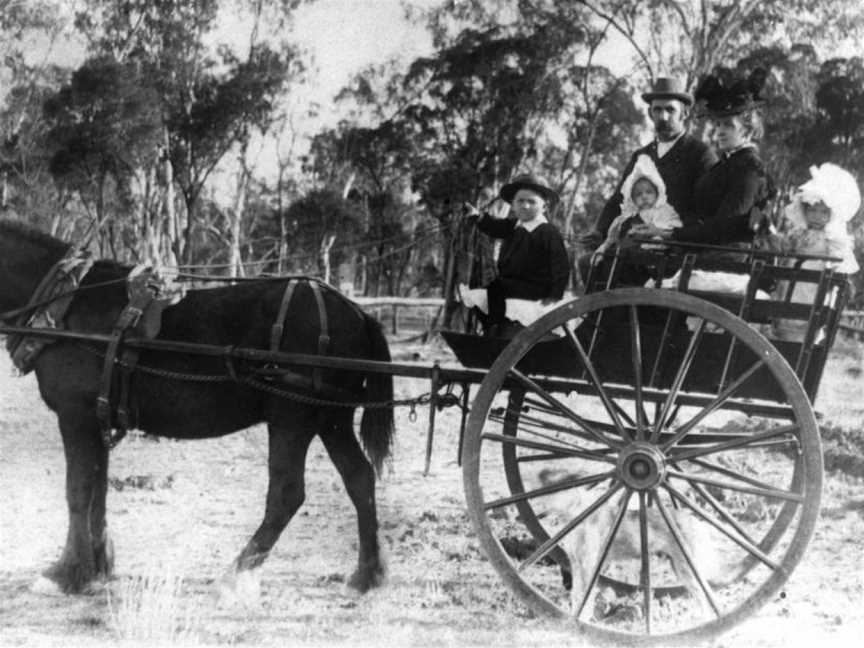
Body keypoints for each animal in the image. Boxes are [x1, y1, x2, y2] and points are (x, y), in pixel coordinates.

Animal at [0, 219, 396, 596]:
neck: (64, 303)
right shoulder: (97, 419)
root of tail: (357, 313)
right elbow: (98, 490)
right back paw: (367, 574)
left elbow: (78, 491)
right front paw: (97, 566)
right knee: (359, 478)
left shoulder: (76, 415)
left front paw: (67, 574)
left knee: (287, 494)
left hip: (292, 419)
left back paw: (236, 575)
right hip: (331, 418)